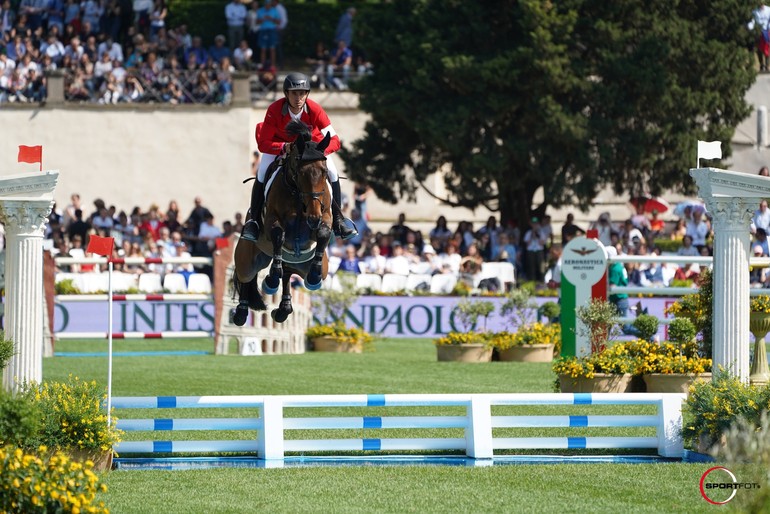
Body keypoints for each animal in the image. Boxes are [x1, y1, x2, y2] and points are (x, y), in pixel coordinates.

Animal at [231, 119, 332, 324]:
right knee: (246, 276)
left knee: (288, 272)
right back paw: (242, 311)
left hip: (303, 264)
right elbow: (279, 235)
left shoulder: (325, 216)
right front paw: (271, 279)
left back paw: (284, 307)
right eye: (300, 172)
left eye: (324, 172)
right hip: (248, 259)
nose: (313, 217)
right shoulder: (273, 219)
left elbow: (324, 233)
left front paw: (314, 275)